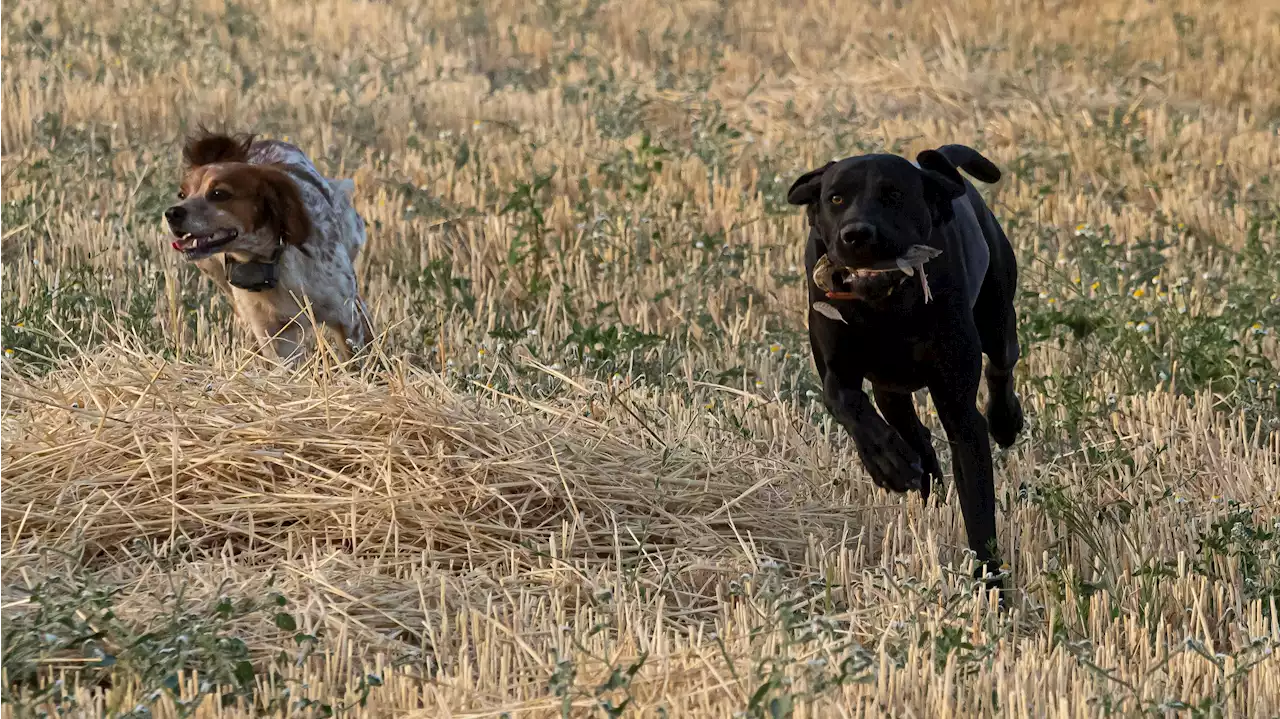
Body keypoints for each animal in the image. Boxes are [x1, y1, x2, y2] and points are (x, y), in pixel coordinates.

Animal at [163, 129, 371, 363]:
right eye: (182, 194)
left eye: (219, 194)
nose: (172, 213)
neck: (269, 259)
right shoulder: (275, 335)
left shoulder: (346, 319)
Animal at [783, 143, 1024, 575]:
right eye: (836, 199)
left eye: (893, 195)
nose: (856, 234)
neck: (886, 308)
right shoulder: (837, 371)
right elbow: (847, 404)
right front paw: (888, 463)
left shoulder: (959, 410)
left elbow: (979, 506)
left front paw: (991, 579)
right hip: (890, 385)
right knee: (908, 425)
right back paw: (918, 467)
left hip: (997, 314)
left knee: (1001, 364)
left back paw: (1004, 421)